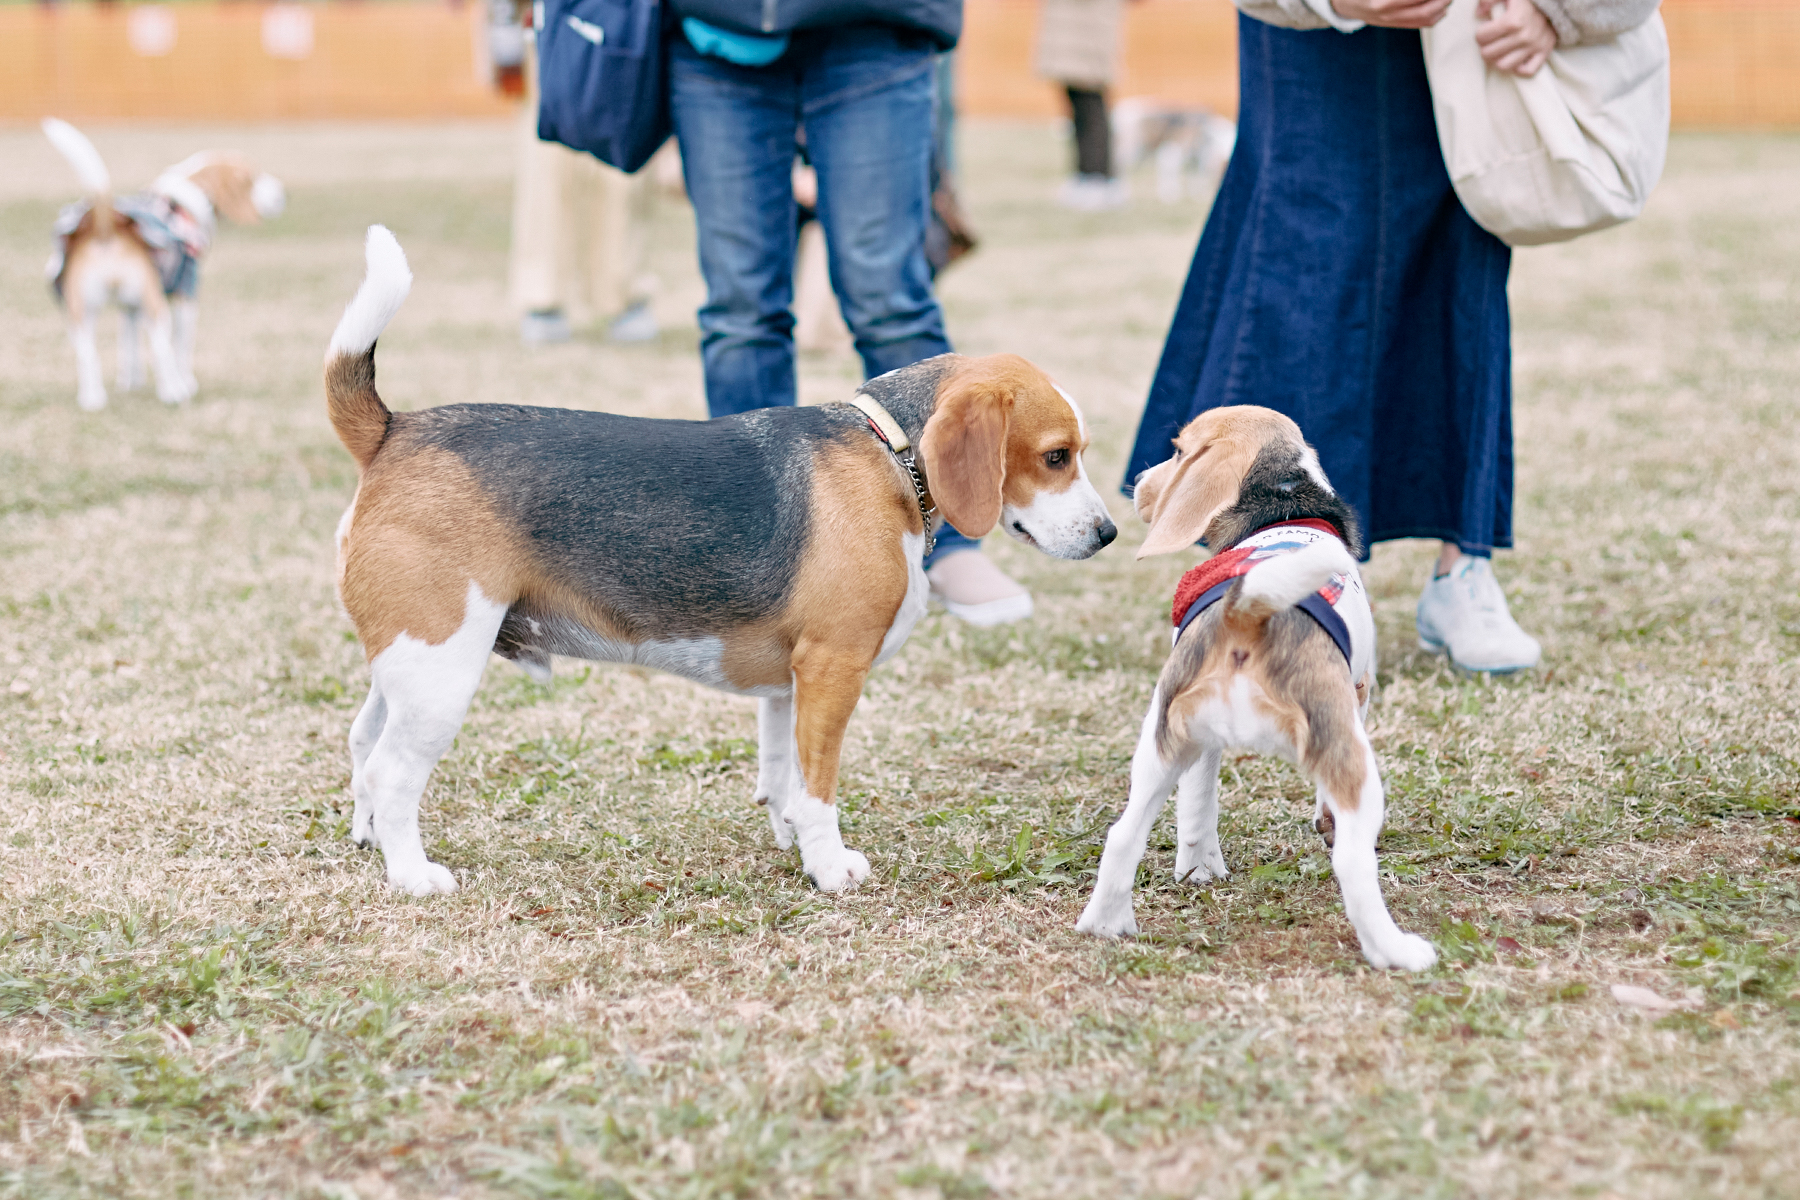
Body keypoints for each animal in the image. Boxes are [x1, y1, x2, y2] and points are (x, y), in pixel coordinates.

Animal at [42, 118, 282, 408]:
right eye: (254, 177)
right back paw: (174, 393)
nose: (283, 194)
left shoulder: (130, 306)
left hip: (80, 309)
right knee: (161, 349)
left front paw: (130, 382)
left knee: (86, 352)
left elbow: (129, 344)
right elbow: (181, 347)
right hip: (154, 305)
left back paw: (92, 399)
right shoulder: (185, 294)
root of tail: (104, 225)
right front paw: (187, 383)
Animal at [318, 230, 1116, 895]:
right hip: (443, 666)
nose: (1109, 533)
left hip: (412, 659)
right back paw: (413, 875)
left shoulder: (791, 682)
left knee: (362, 742)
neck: (890, 452)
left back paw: (368, 841)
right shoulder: (833, 668)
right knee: (391, 771)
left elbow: (783, 775)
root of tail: (393, 429)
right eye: (1056, 456)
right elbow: (818, 789)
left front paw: (792, 841)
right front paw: (829, 869)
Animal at [1072, 408, 1440, 971]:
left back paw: (1106, 924)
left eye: (1178, 452)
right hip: (1353, 761)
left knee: (1124, 835)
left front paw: (1199, 870)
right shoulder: (1358, 696)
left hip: (1162, 741)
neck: (1284, 500)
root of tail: (1250, 614)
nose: (1138, 480)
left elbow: (1196, 808)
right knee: (1354, 865)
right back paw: (1398, 950)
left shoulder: (1199, 744)